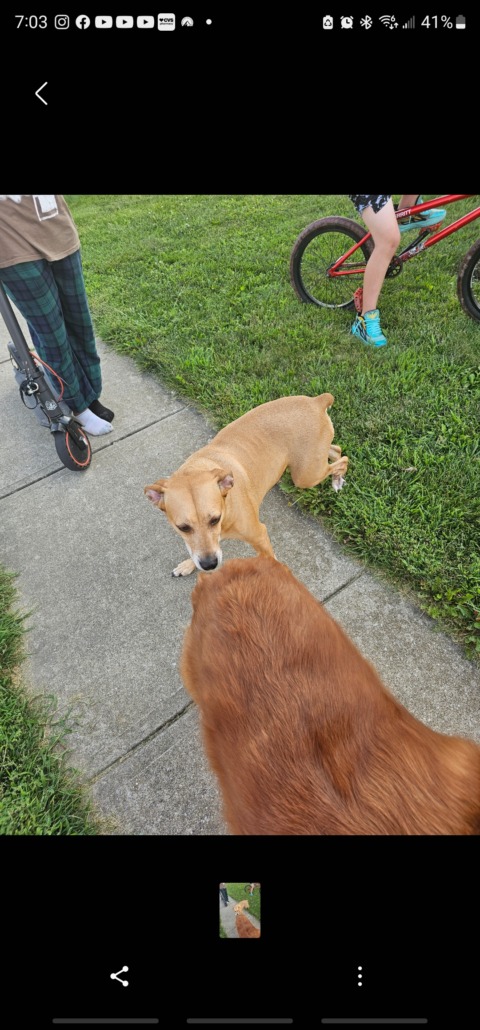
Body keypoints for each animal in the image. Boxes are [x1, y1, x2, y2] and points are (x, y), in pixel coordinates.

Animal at [144, 394, 348, 576]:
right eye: (183, 527)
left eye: (214, 519)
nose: (209, 565)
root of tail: (316, 401)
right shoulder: (204, 545)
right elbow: (195, 549)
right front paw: (189, 564)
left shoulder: (259, 535)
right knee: (337, 450)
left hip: (306, 476)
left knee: (343, 460)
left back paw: (337, 479)